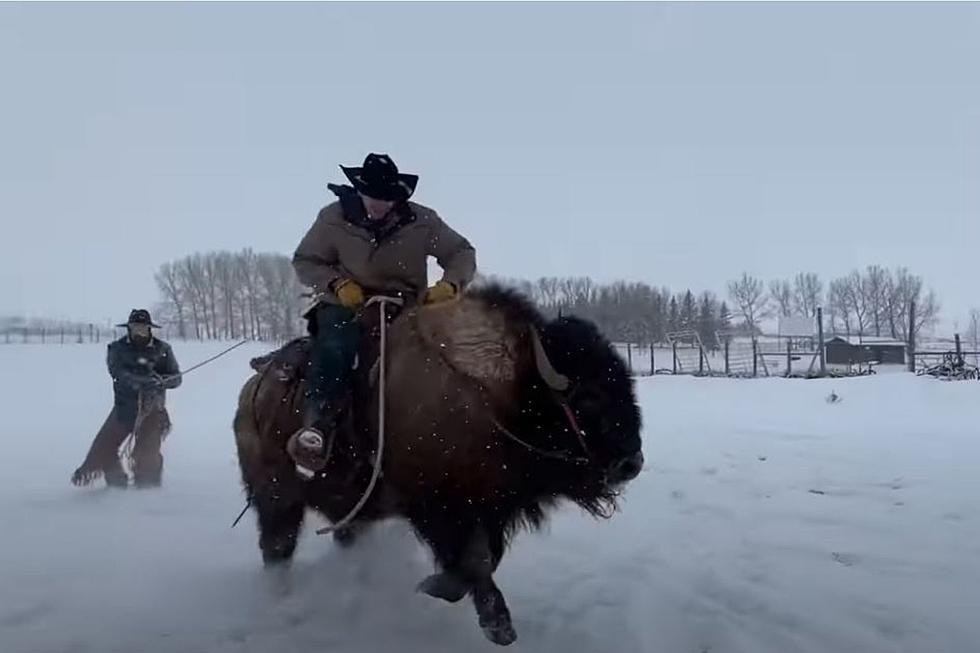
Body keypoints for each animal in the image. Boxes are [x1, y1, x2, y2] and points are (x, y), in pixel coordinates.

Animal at [231, 286, 644, 640]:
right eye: (588, 396)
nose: (631, 463)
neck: (505, 392)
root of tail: (252, 392)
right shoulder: (439, 508)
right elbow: (474, 562)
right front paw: (492, 621)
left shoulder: (490, 508)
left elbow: (485, 558)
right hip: (278, 499)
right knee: (277, 549)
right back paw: (282, 601)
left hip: (345, 510)